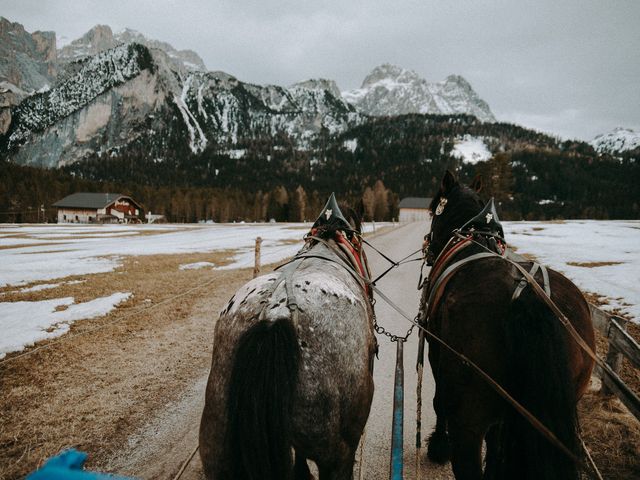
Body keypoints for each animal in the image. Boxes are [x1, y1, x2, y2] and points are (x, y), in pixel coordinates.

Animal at [420, 171, 596, 478]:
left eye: (433, 210)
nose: (428, 247)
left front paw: (438, 446)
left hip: (467, 421)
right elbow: (497, 439)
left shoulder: (434, 349)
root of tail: (527, 293)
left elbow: (438, 402)